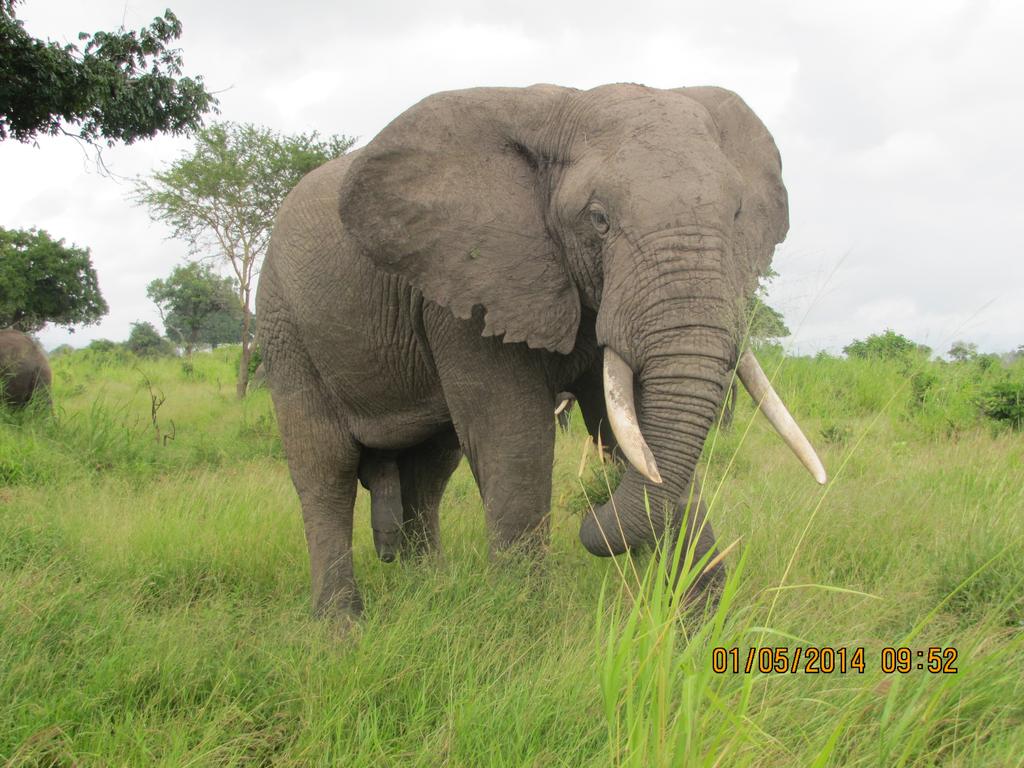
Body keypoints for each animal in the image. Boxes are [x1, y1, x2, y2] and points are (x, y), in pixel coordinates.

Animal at [256, 83, 827, 618]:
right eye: (598, 219)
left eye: (737, 215)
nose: (590, 515)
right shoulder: (474, 283)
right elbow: (515, 438)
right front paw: (523, 623)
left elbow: (635, 430)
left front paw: (701, 628)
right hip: (284, 321)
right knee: (324, 470)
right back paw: (341, 629)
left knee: (431, 468)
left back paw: (430, 591)